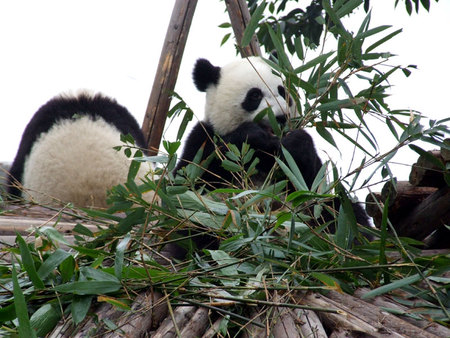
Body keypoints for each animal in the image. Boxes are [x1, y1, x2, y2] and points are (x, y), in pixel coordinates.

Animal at [174, 56, 370, 235]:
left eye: (283, 92)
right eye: (255, 95)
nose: (281, 117)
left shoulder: (304, 174)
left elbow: (310, 179)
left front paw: (296, 144)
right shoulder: (204, 138)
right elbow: (188, 180)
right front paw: (252, 136)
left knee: (344, 213)